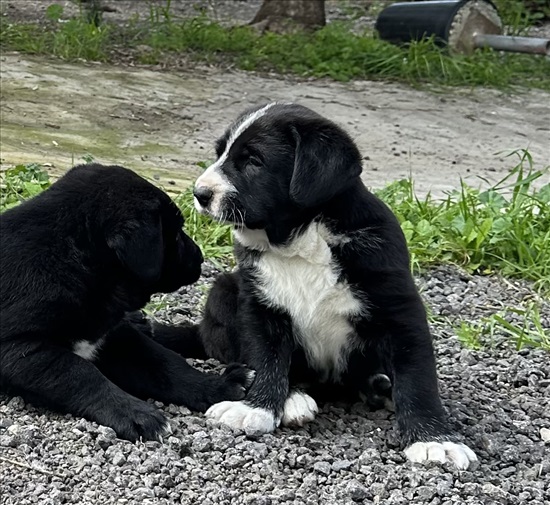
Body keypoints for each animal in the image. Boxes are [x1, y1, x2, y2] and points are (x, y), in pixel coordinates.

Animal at [0, 163, 250, 440]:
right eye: (174, 235)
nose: (201, 257)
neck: (75, 260)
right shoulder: (22, 349)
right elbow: (82, 375)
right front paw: (136, 414)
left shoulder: (112, 336)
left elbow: (165, 363)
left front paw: (218, 385)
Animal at [152, 103, 478, 468]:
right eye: (220, 152)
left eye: (254, 161)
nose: (200, 194)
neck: (301, 244)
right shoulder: (260, 307)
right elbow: (267, 358)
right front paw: (258, 408)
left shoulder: (401, 311)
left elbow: (417, 380)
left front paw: (434, 439)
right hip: (224, 292)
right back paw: (295, 398)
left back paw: (379, 386)